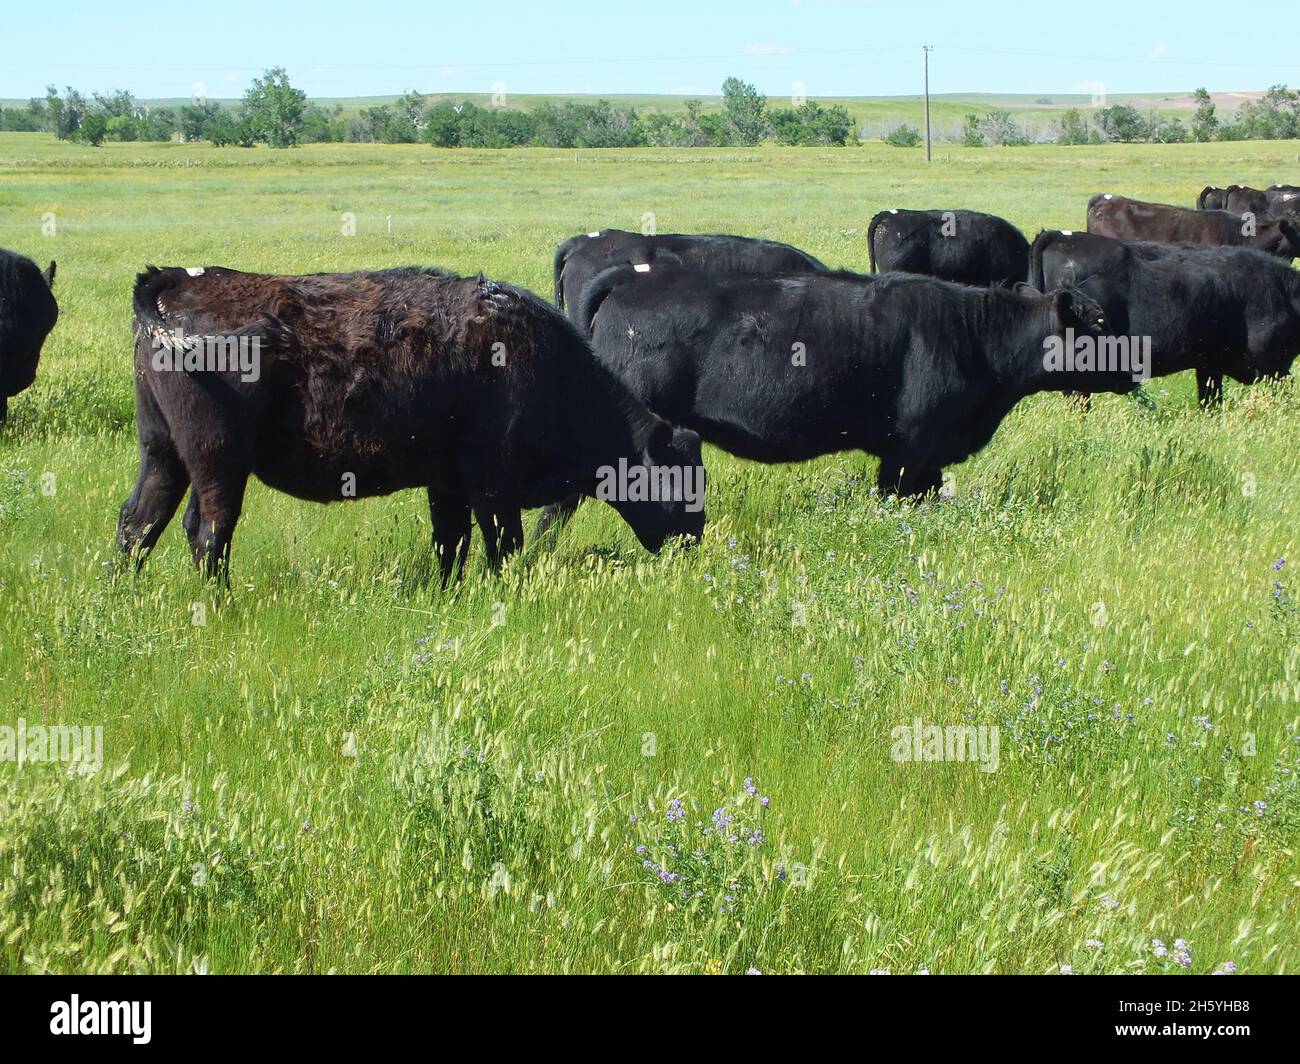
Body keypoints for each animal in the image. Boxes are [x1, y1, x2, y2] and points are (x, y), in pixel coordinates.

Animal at [118, 265, 706, 583]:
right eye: (676, 480)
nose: (693, 541)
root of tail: (171, 282)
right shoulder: (493, 489)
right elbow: (502, 545)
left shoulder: (448, 485)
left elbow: (451, 544)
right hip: (218, 462)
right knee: (208, 533)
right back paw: (223, 607)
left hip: (163, 452)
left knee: (139, 521)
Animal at [534, 263, 1133, 536]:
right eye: (1101, 323)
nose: (1133, 366)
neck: (974, 336)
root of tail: (631, 279)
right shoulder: (912, 452)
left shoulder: (918, 455)